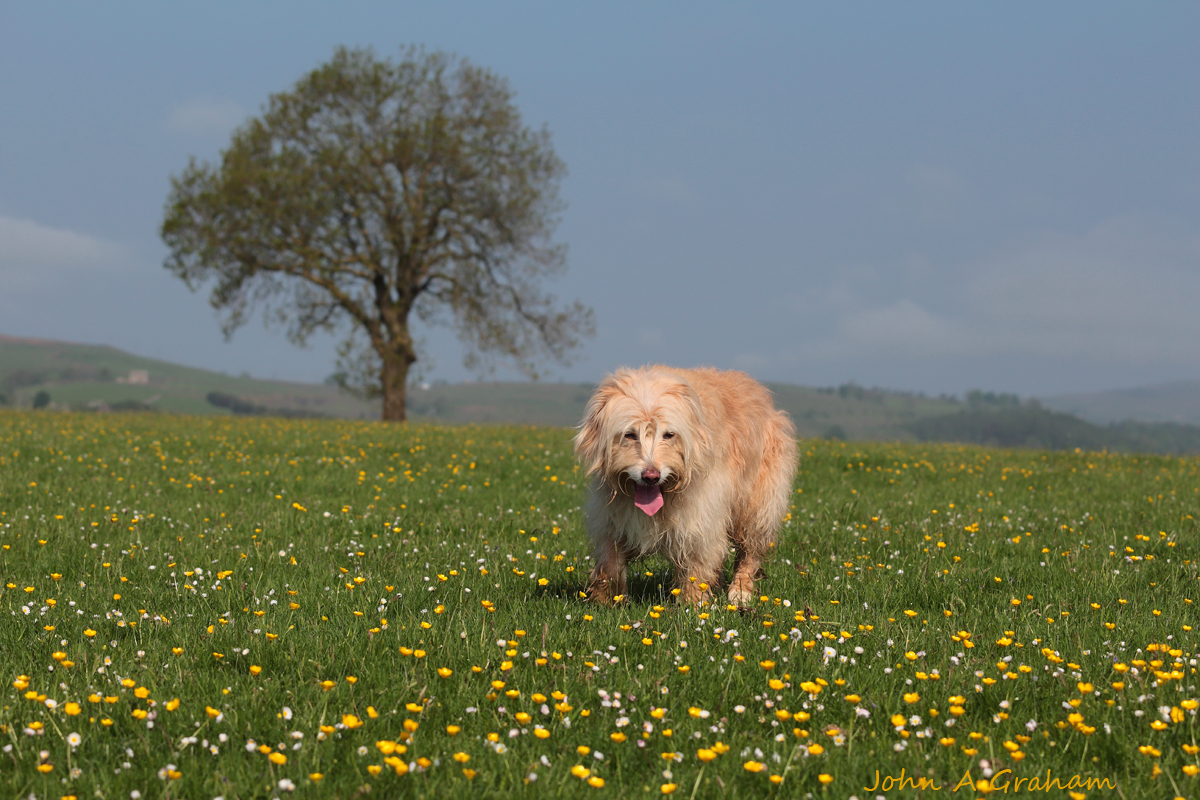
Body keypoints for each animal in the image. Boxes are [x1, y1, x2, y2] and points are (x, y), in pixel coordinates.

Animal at [573, 367, 796, 604]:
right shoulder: (612, 518)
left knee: (749, 552)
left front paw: (692, 604)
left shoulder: (701, 517)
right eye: (630, 434)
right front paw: (605, 601)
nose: (650, 476)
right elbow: (610, 563)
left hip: (757, 507)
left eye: (669, 435)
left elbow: (696, 566)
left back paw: (740, 591)